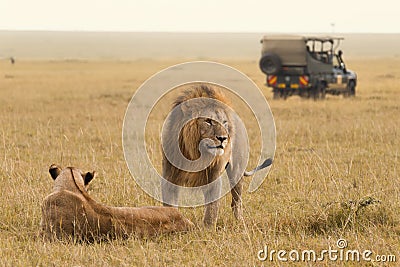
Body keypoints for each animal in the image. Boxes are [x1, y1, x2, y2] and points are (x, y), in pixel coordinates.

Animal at [162, 86, 272, 228]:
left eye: (224, 123)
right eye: (208, 121)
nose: (223, 138)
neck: (196, 154)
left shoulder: (214, 176)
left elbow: (212, 208)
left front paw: (207, 229)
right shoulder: (169, 175)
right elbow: (169, 204)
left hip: (236, 172)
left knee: (236, 201)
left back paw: (240, 222)